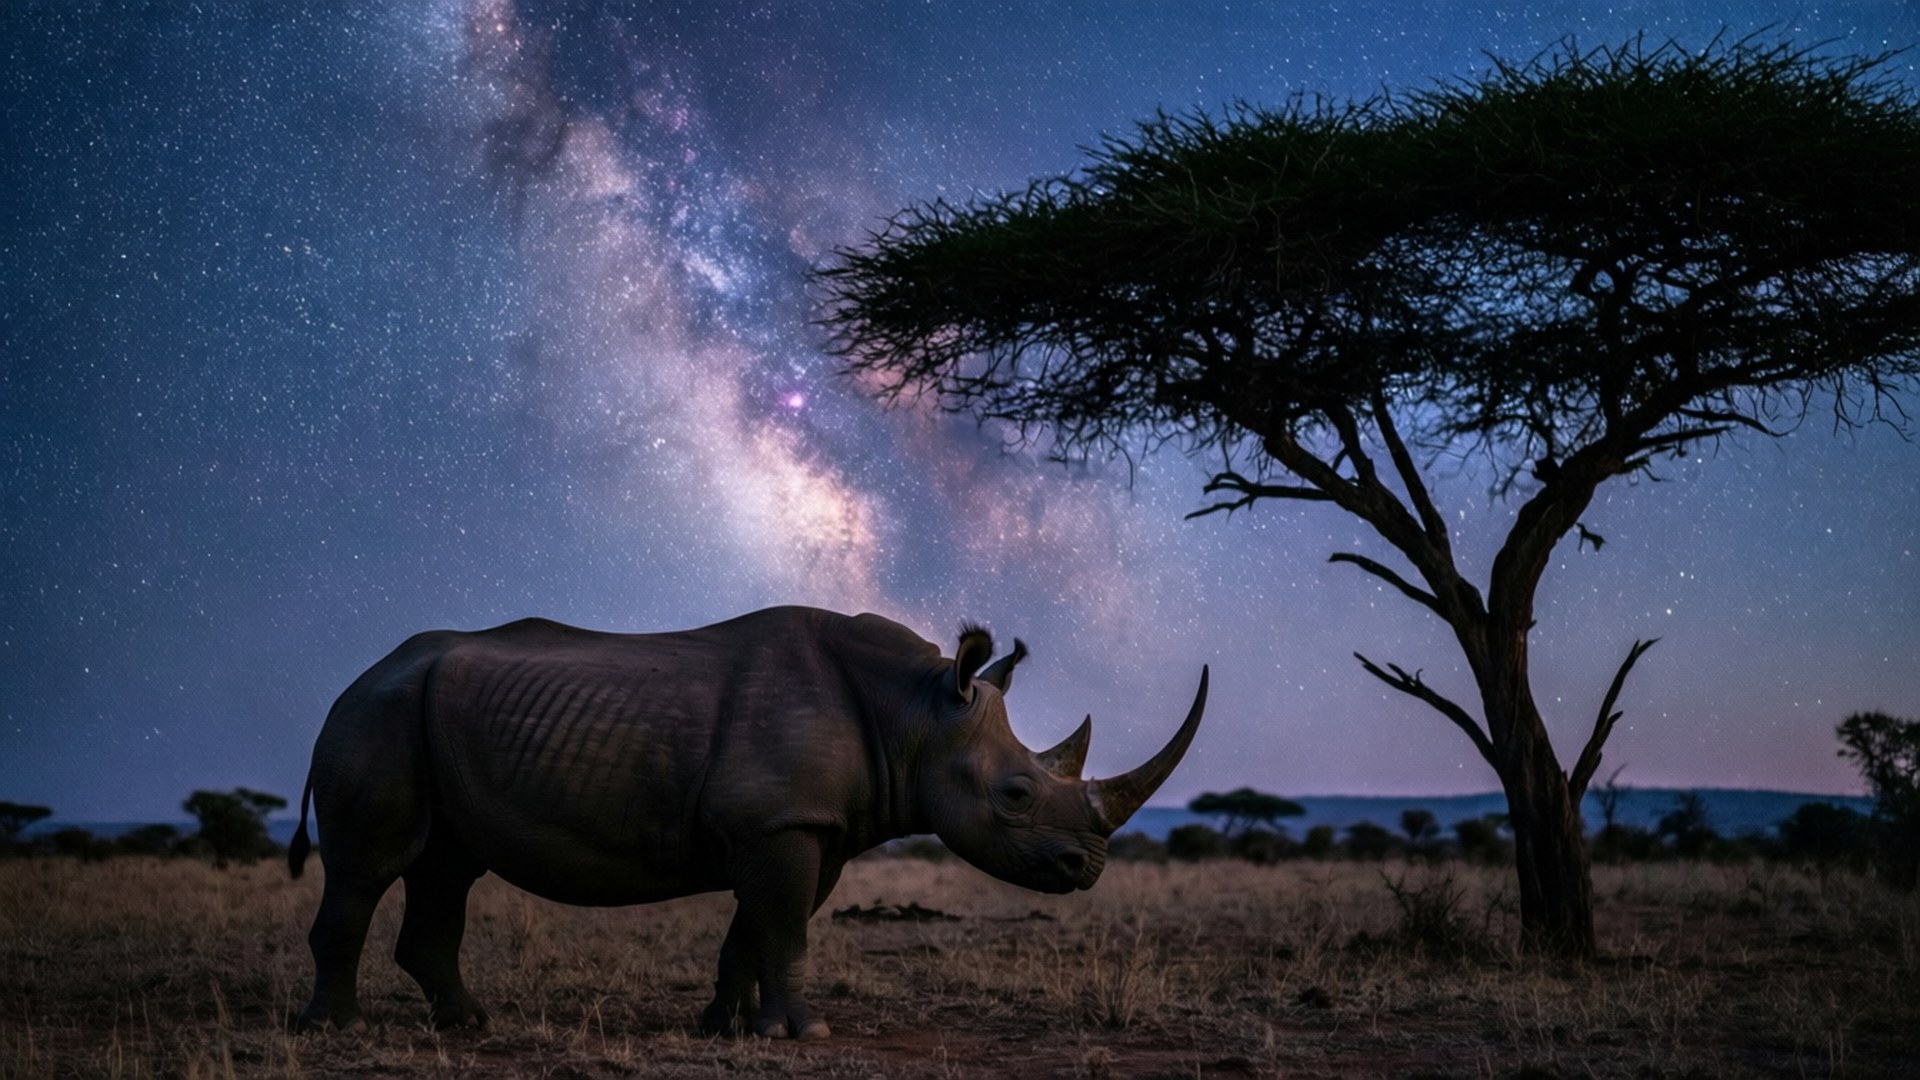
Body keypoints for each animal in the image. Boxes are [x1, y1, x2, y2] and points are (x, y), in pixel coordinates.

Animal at [287, 605, 1206, 1039]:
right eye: (1016, 795)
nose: (1086, 869)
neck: (915, 712)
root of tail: (351, 683)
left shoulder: (803, 825)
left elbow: (758, 928)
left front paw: (724, 1027)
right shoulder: (780, 822)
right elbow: (784, 928)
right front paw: (804, 1033)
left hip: (415, 715)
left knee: (446, 867)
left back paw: (469, 1023)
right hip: (377, 716)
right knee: (368, 868)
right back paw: (335, 1027)